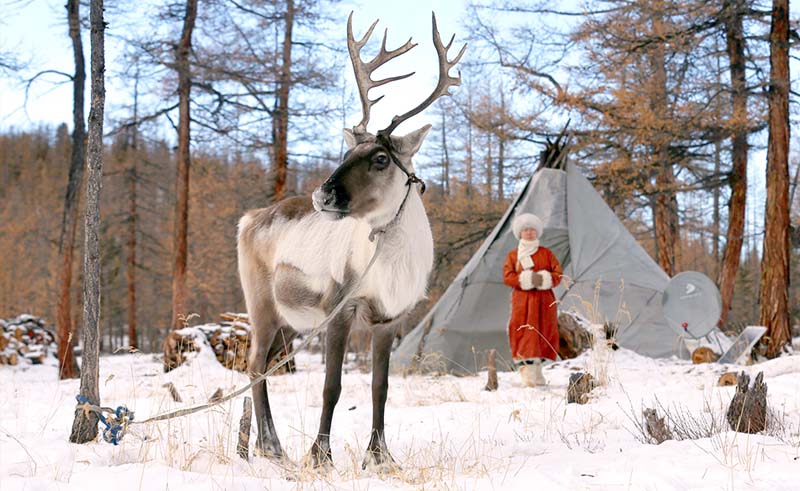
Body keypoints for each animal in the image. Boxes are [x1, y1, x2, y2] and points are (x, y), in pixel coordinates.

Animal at [236, 13, 465, 469]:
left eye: (380, 158)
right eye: (346, 154)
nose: (322, 195)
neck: (391, 269)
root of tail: (248, 218)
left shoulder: (392, 318)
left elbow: (381, 387)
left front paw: (380, 456)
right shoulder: (339, 307)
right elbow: (332, 386)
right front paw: (320, 456)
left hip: (288, 321)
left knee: (263, 367)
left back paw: (262, 447)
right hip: (260, 304)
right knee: (253, 366)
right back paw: (274, 448)